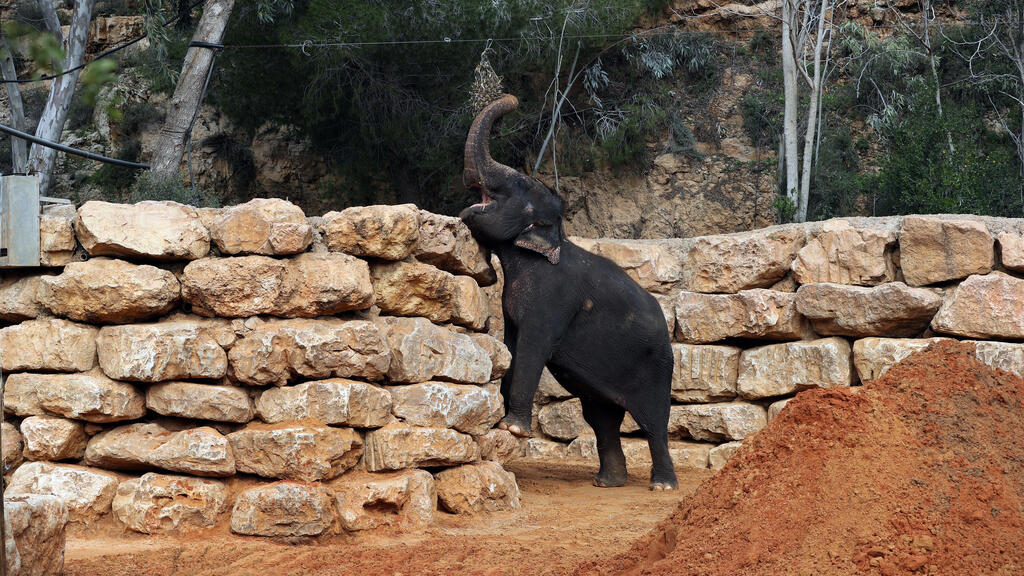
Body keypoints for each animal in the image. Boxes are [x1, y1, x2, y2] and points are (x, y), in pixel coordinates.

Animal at [459, 94, 678, 491]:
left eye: (518, 188)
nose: (512, 100)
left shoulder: (554, 299)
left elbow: (533, 347)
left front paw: (513, 428)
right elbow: (512, 347)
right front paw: (499, 421)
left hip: (658, 366)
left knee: (654, 422)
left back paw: (662, 485)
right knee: (602, 418)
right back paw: (607, 483)